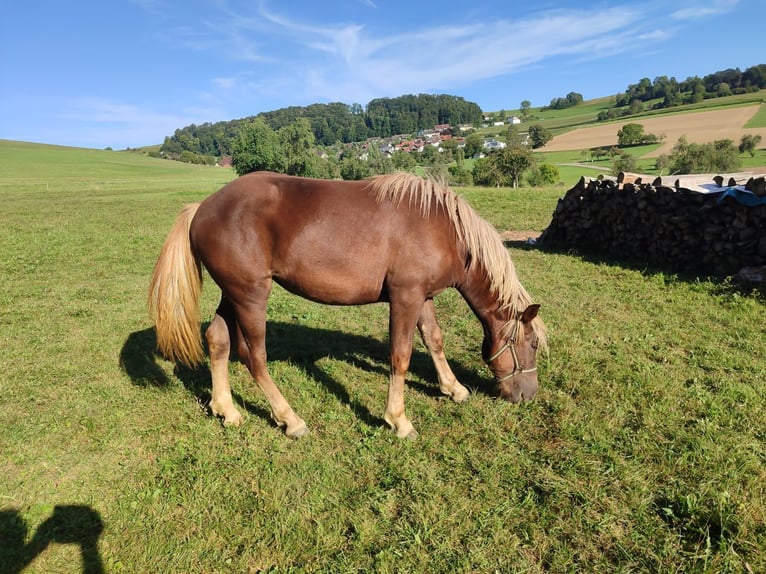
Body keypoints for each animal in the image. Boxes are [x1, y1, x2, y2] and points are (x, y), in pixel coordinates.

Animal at [148, 172, 544, 440]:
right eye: (532, 344)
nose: (528, 396)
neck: (444, 228)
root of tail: (202, 207)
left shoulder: (424, 297)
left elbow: (434, 339)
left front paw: (453, 388)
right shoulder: (405, 297)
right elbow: (400, 355)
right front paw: (398, 419)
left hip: (232, 294)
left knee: (217, 340)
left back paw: (226, 409)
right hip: (251, 296)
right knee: (253, 357)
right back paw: (290, 419)